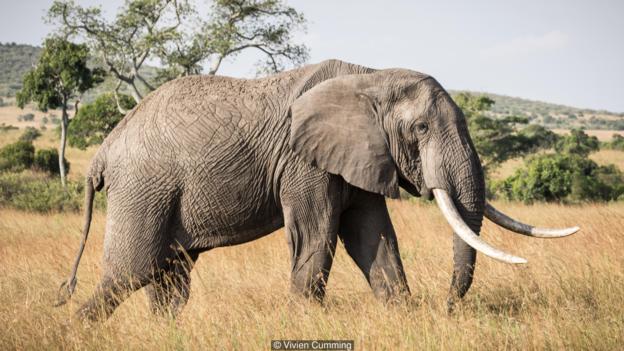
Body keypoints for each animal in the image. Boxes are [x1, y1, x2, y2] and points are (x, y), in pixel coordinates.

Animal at [54, 59, 580, 322]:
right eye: (422, 128)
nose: (447, 308)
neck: (372, 78)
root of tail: (105, 148)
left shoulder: (362, 154)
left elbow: (373, 238)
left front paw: (403, 318)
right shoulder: (303, 160)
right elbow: (318, 234)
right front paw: (307, 323)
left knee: (169, 277)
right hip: (143, 186)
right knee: (130, 270)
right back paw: (74, 329)